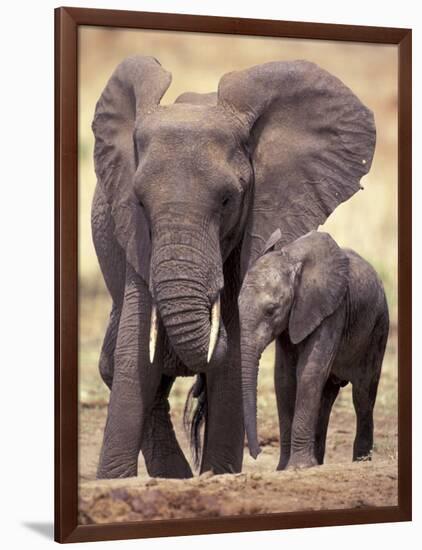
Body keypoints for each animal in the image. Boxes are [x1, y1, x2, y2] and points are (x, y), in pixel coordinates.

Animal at [239, 231, 390, 472]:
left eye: (271, 310)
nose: (257, 453)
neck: (291, 258)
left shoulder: (332, 310)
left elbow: (309, 371)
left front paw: (297, 468)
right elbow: (284, 379)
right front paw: (284, 469)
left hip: (378, 329)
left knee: (363, 396)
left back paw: (360, 462)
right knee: (326, 399)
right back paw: (317, 463)